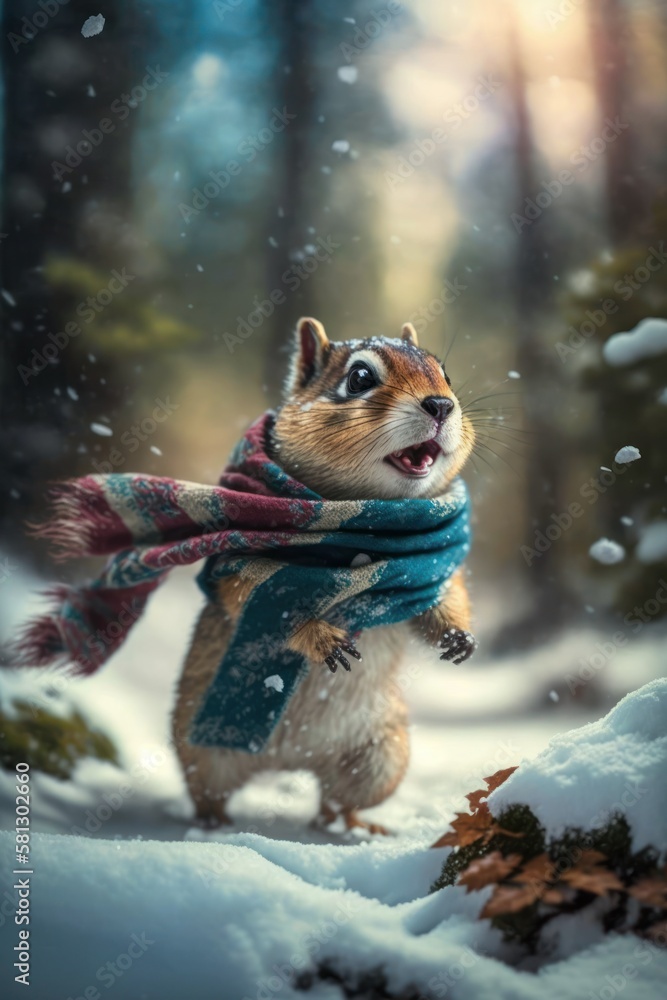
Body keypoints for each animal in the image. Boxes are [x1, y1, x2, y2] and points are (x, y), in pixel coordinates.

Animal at [172, 317, 476, 835]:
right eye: (359, 378)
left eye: (447, 375)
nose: (440, 404)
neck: (367, 522)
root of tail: (291, 758)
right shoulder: (237, 563)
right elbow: (255, 596)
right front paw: (319, 635)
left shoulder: (431, 569)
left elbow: (444, 597)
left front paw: (459, 637)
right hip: (199, 746)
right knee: (207, 792)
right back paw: (212, 824)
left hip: (382, 757)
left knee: (336, 801)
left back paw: (353, 826)